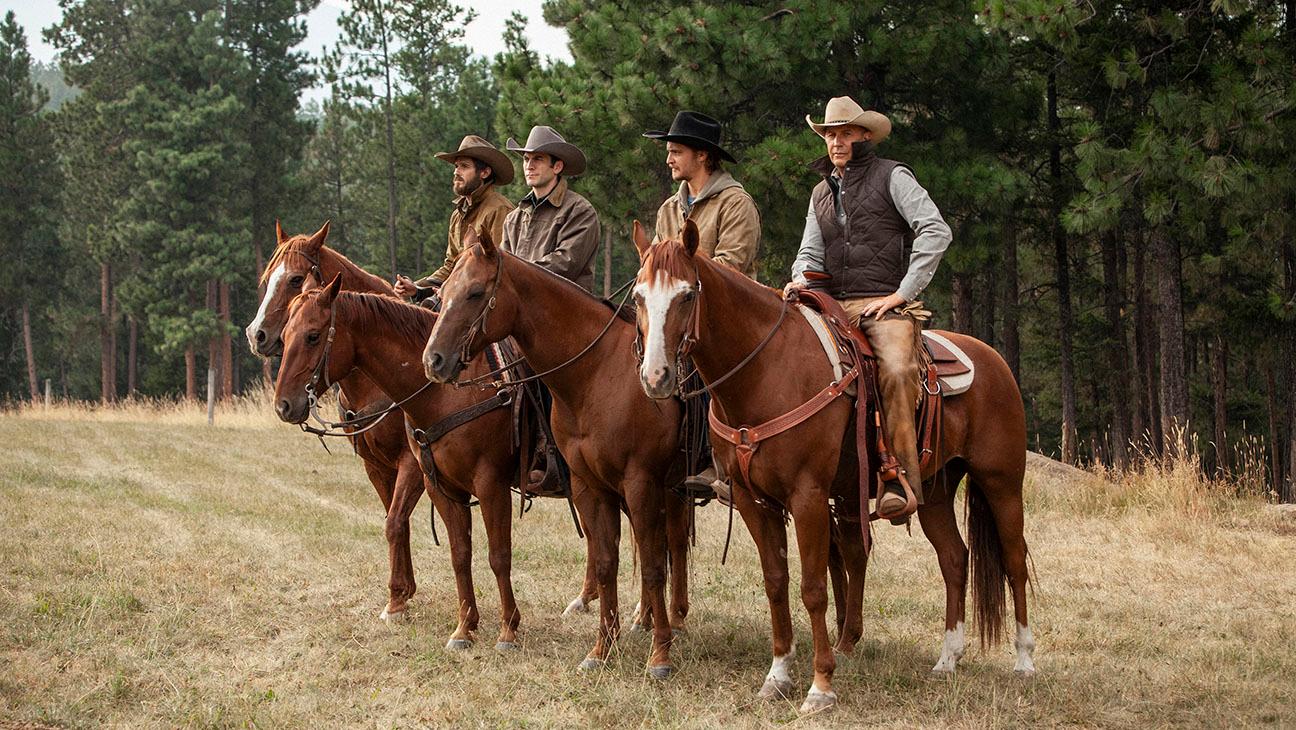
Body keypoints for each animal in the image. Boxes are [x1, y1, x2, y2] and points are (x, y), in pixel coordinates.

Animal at [278, 276, 531, 650]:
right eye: (285, 335)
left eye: (312, 335)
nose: (282, 404)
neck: (449, 390)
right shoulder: (410, 475)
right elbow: (447, 547)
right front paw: (428, 610)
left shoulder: (483, 482)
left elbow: (496, 553)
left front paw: (507, 629)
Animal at [422, 230, 689, 684]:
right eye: (443, 293)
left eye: (475, 292)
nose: (434, 360)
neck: (599, 373)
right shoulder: (590, 486)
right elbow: (607, 561)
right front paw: (603, 649)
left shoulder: (640, 483)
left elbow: (654, 564)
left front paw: (659, 657)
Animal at [632, 221, 1036, 715]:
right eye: (638, 296)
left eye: (687, 294)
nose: (656, 377)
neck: (767, 370)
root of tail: (995, 361)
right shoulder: (752, 500)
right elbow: (776, 582)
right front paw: (778, 675)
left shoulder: (807, 496)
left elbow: (813, 587)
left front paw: (820, 685)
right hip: (934, 492)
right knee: (954, 559)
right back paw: (948, 659)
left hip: (1001, 483)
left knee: (1014, 560)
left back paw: (1024, 661)